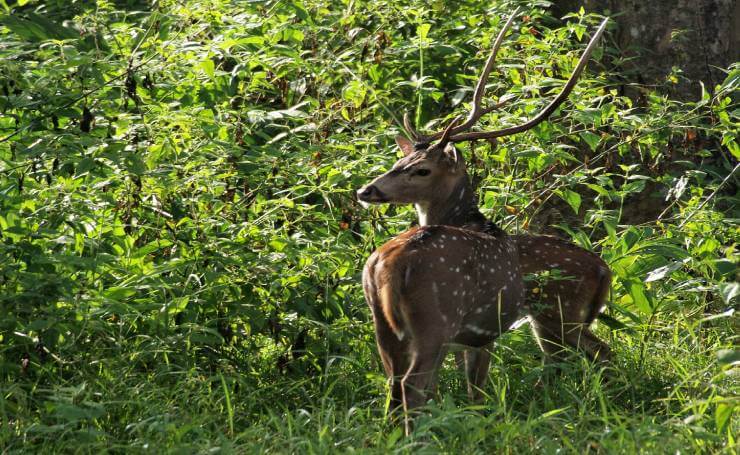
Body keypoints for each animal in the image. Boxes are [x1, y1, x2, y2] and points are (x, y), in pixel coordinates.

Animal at [356, 10, 608, 418]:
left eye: (421, 169)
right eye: (398, 162)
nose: (367, 191)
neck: (471, 219)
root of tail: (605, 270)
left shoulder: (479, 333)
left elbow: (474, 390)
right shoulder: (481, 333)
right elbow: (475, 391)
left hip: (422, 323)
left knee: (403, 386)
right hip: (454, 321)